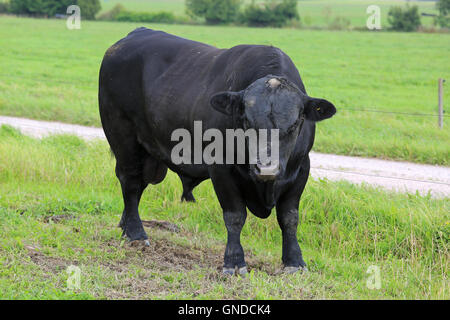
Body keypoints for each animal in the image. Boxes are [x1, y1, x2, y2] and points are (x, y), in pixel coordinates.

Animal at [99, 28, 338, 276]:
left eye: (296, 122)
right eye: (247, 121)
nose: (266, 168)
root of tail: (133, 36)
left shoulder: (301, 168)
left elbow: (289, 218)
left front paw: (294, 261)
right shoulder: (221, 168)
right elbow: (235, 216)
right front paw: (234, 262)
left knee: (136, 187)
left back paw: (125, 226)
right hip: (123, 137)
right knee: (130, 183)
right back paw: (135, 233)